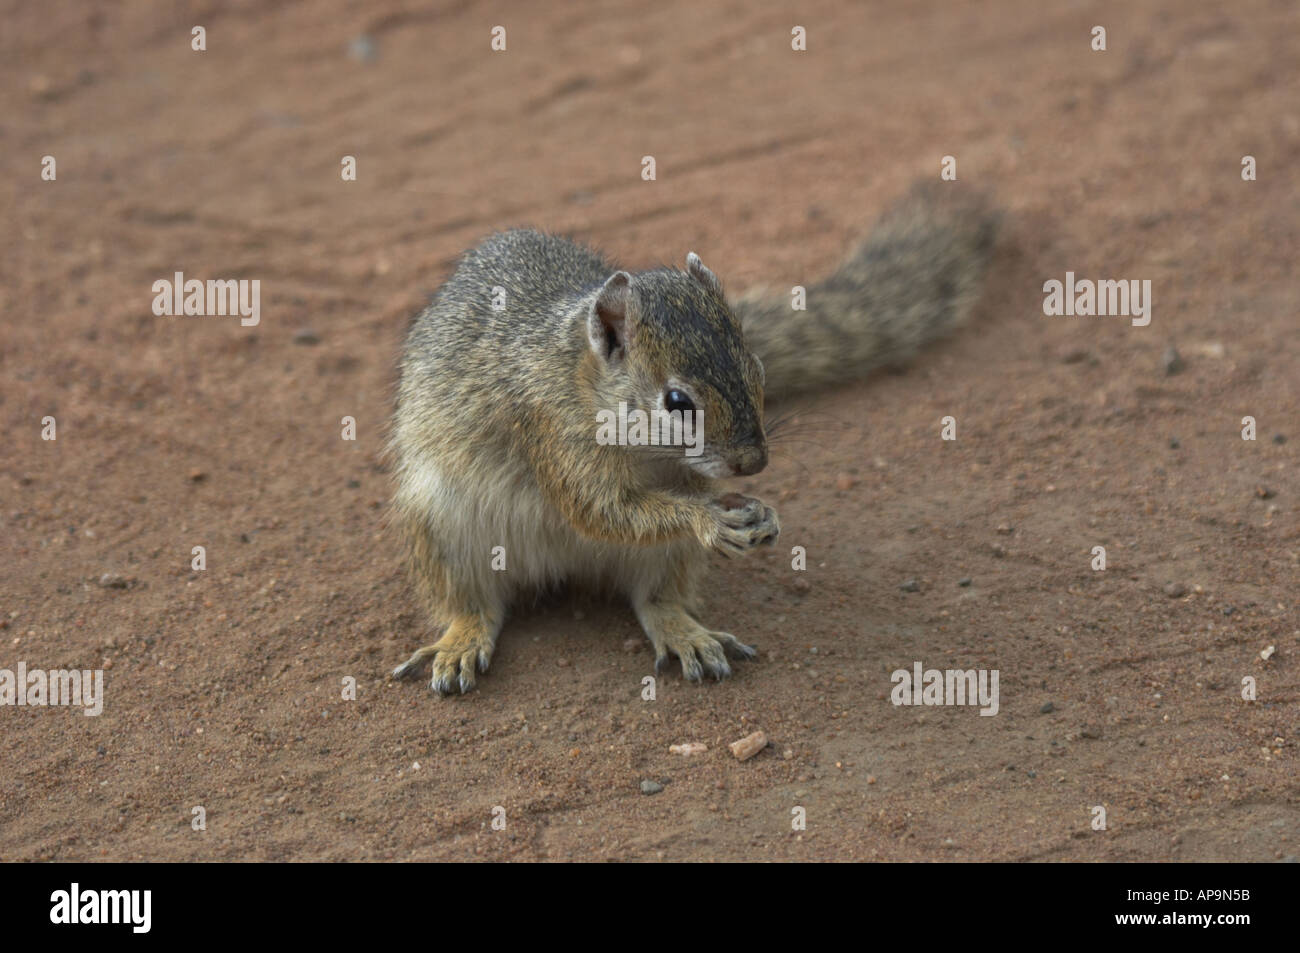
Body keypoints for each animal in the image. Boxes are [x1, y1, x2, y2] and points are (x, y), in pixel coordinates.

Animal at [389, 184, 999, 694]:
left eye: (757, 367)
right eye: (678, 403)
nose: (753, 463)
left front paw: (761, 512)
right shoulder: (550, 434)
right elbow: (600, 509)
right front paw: (708, 518)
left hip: (667, 559)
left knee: (655, 598)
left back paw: (686, 632)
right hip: (444, 528)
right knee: (471, 603)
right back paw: (461, 639)